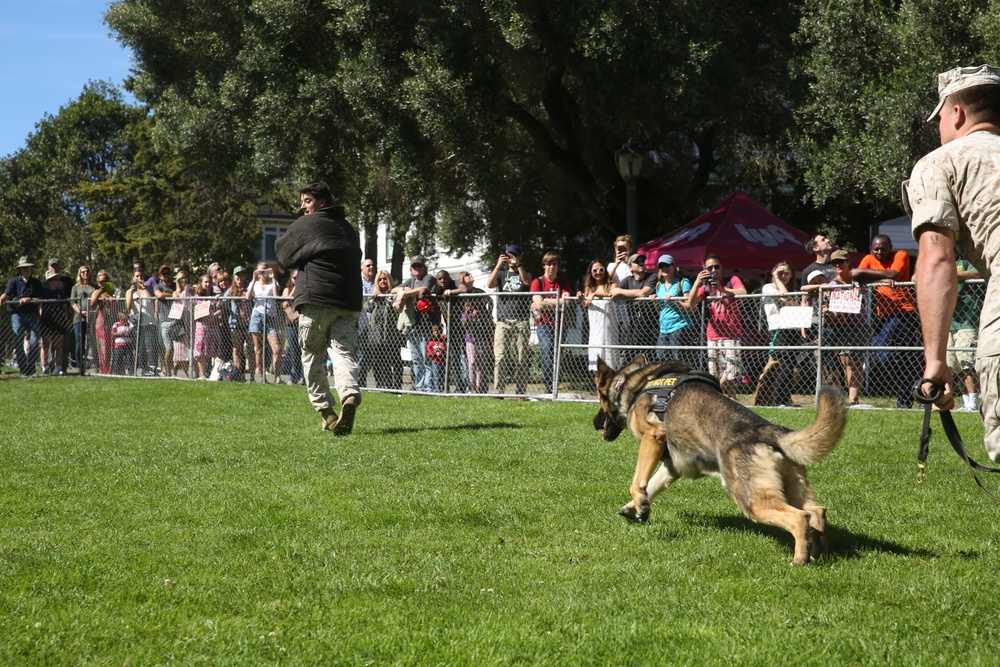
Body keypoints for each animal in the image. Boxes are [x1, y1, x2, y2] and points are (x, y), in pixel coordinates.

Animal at [592, 358, 844, 568]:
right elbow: (652, 485)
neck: (634, 384)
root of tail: (770, 432)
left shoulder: (653, 437)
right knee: (817, 512)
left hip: (752, 500)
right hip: (791, 488)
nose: (594, 423)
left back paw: (799, 560)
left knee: (800, 518)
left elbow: (637, 481)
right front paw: (635, 507)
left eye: (599, 398)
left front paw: (638, 503)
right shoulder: (672, 466)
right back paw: (818, 554)